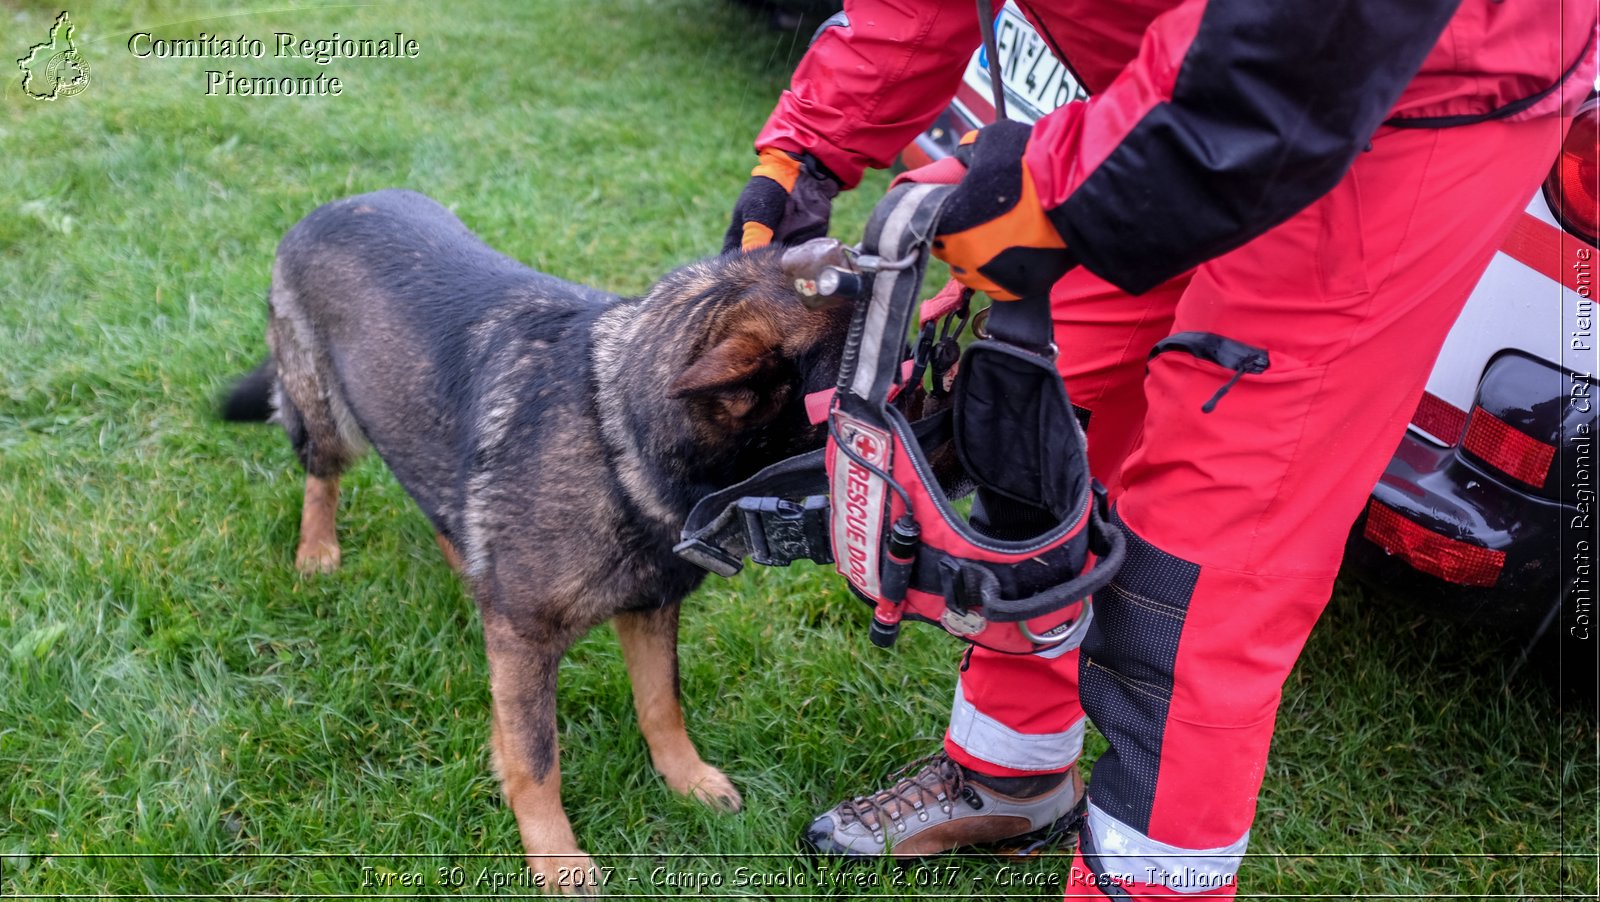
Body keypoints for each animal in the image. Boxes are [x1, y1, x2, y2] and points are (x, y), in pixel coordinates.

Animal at [227, 190, 857, 889]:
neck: (617, 435)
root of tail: (336, 203)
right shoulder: (524, 643)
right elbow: (537, 759)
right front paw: (555, 856)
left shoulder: (649, 608)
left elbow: (661, 705)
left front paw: (686, 780)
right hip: (327, 416)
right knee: (321, 476)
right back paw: (317, 550)